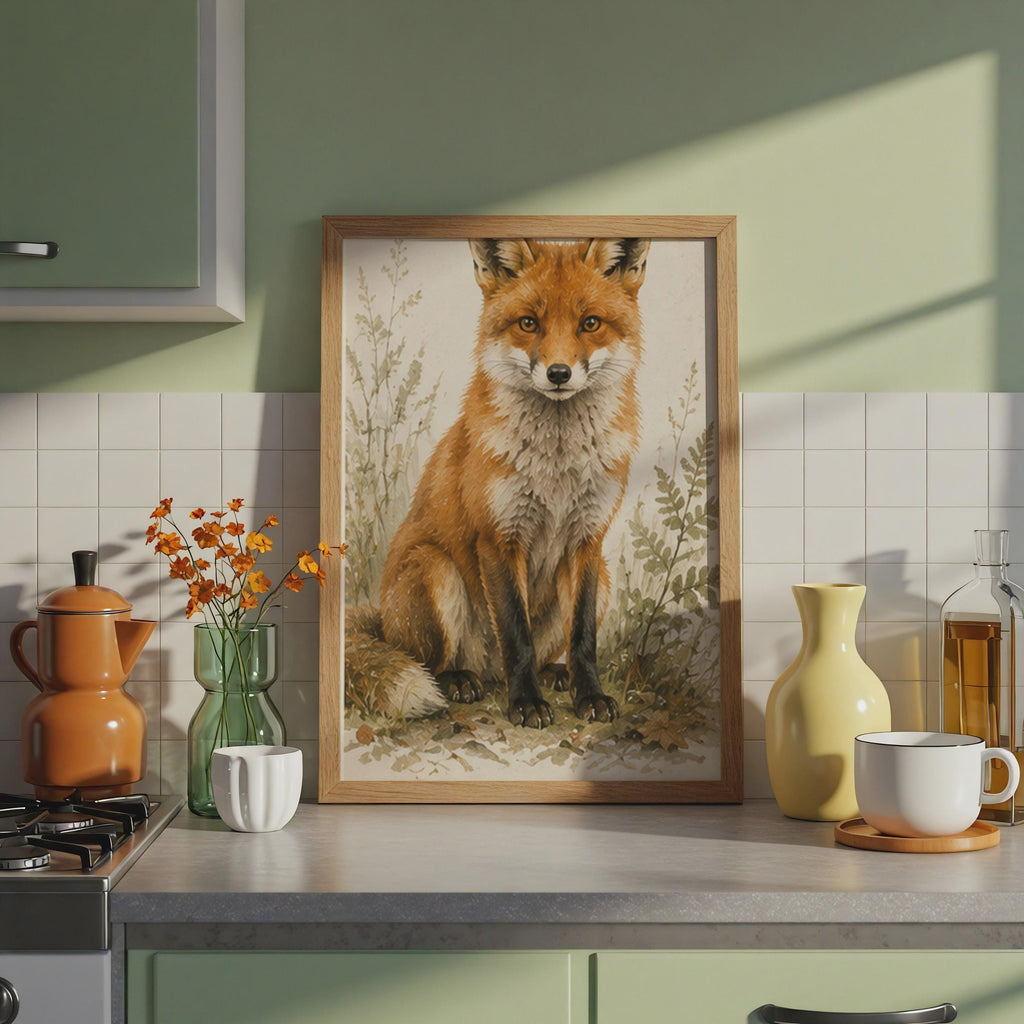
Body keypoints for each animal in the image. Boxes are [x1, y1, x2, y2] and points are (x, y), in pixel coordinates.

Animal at [345, 236, 650, 728]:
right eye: (529, 323)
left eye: (590, 324)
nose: (559, 373)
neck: (557, 468)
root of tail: (384, 623)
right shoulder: (499, 538)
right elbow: (515, 635)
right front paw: (524, 704)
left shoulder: (588, 541)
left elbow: (583, 638)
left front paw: (590, 696)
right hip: (435, 568)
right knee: (431, 660)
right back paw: (459, 680)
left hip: (603, 578)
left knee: (540, 653)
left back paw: (554, 674)